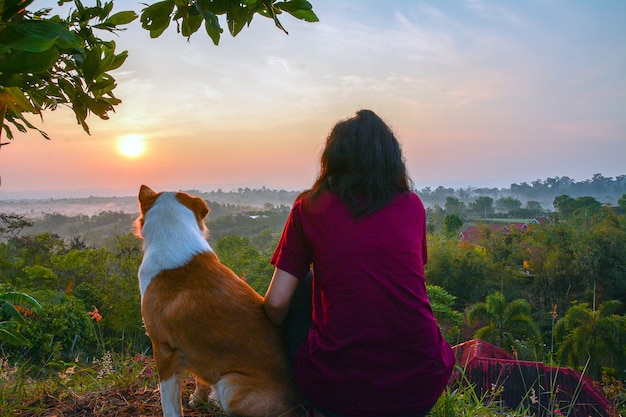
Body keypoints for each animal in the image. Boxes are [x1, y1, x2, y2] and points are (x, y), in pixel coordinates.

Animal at [135, 185, 302, 416]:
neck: (173, 235)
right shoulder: (193, 346)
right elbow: (200, 378)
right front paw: (199, 398)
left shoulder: (163, 349)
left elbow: (169, 402)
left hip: (230, 386)